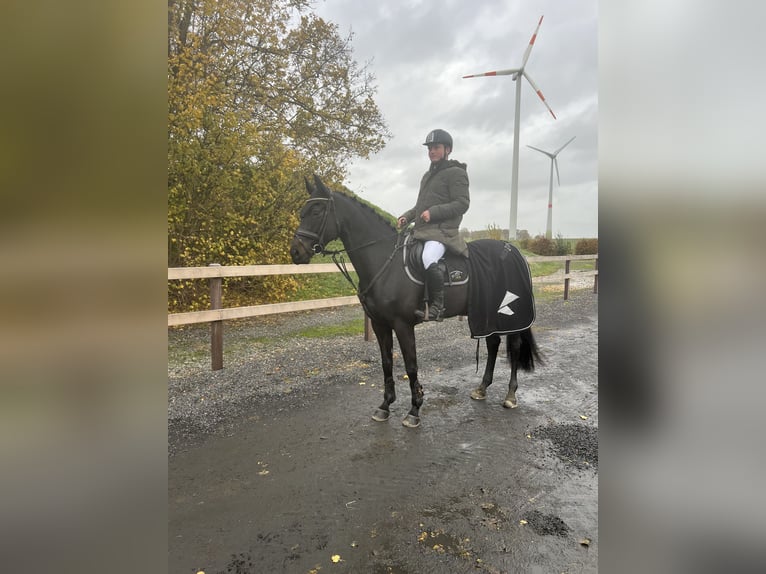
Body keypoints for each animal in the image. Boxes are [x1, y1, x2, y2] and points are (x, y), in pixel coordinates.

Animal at [292, 176, 544, 428]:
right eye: (303, 211)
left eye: (317, 210)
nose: (296, 252)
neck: (386, 263)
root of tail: (515, 252)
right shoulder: (379, 324)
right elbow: (386, 363)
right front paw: (385, 406)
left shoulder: (403, 325)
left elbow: (411, 365)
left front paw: (414, 409)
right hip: (485, 314)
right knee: (492, 345)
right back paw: (482, 388)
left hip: (507, 316)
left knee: (514, 347)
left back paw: (510, 395)